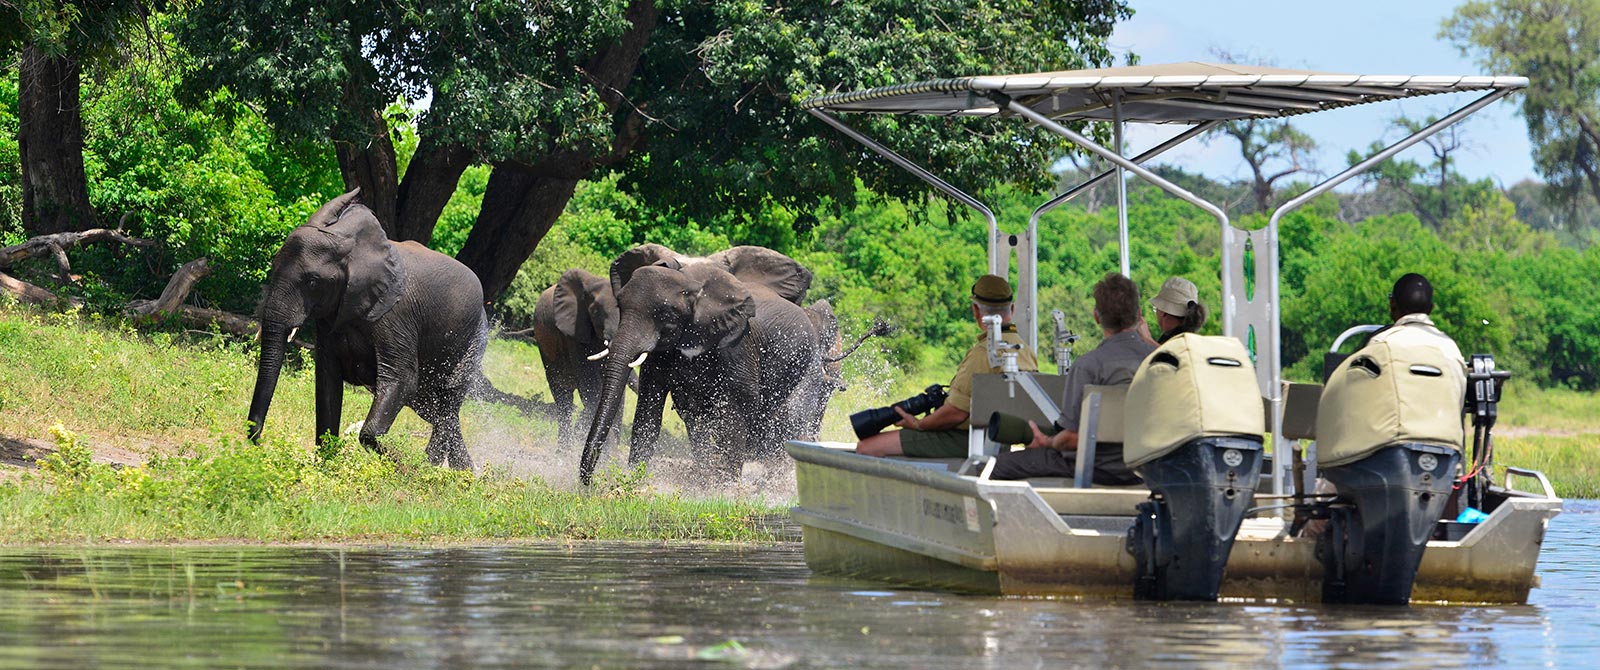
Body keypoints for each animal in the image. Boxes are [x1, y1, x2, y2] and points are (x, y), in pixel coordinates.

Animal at [243, 187, 486, 473]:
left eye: (313, 282)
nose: (259, 443)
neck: (350, 246)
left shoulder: (396, 316)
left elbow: (402, 380)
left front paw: (401, 466)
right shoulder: (330, 318)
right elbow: (327, 381)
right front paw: (328, 467)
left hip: (473, 340)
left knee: (446, 401)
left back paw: (434, 468)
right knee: (437, 410)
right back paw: (467, 473)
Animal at [576, 244, 825, 486]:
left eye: (668, 316)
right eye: (620, 305)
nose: (586, 484)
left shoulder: (737, 345)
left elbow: (735, 410)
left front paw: (725, 490)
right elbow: (650, 409)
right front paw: (635, 483)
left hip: (808, 365)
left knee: (791, 419)